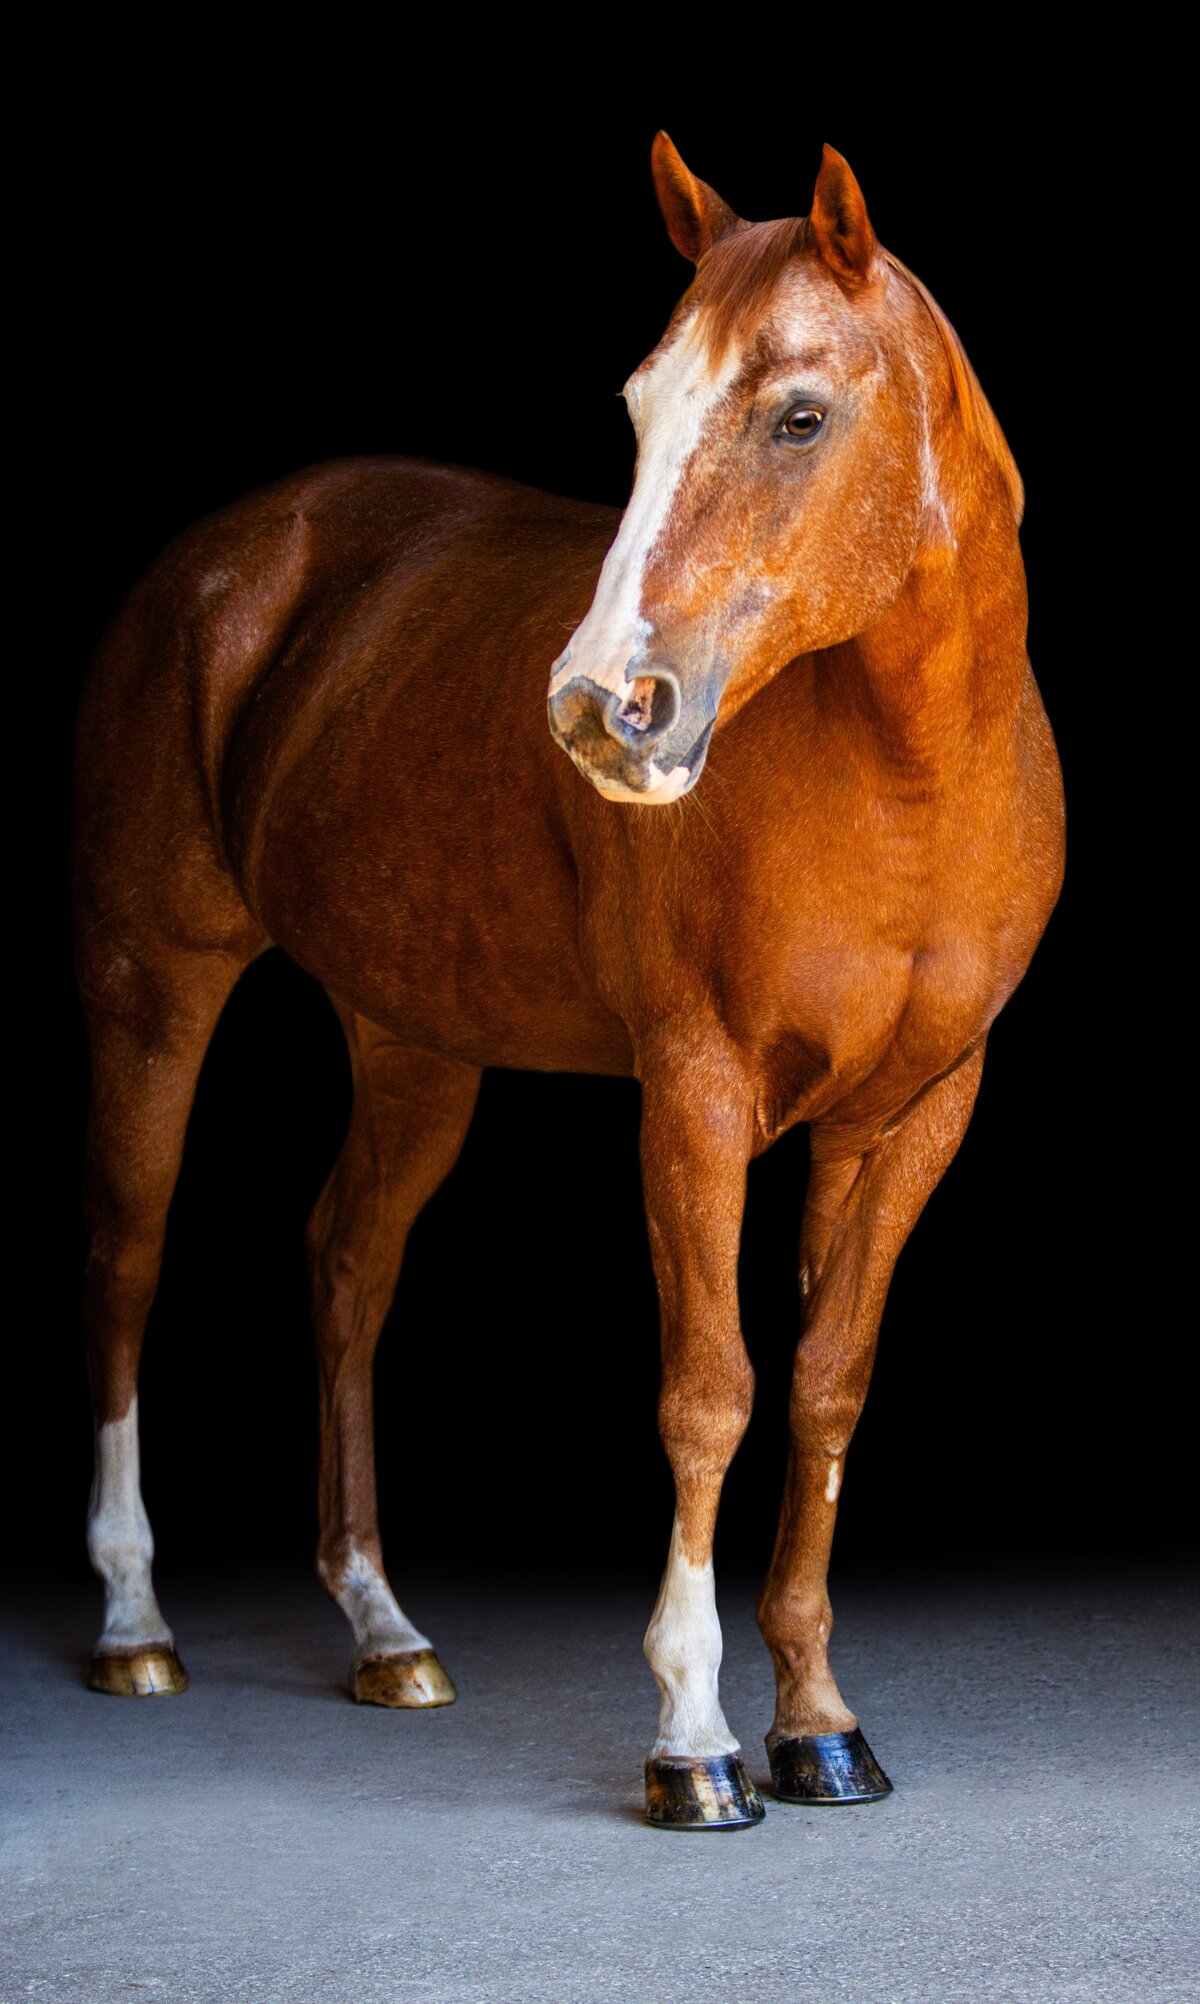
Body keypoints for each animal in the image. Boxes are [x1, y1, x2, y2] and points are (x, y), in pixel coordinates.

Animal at [73, 133, 1064, 1830]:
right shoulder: (695, 1093)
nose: (604, 709)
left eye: (800, 413)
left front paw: (819, 1722)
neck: (911, 779)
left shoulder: (915, 1113)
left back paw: (384, 1628)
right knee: (131, 1264)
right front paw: (694, 1738)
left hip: (413, 1043)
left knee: (348, 1265)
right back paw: (135, 1623)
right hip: (153, 991)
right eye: (639, 407)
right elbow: (709, 1389)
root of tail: (224, 561)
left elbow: (826, 1389)